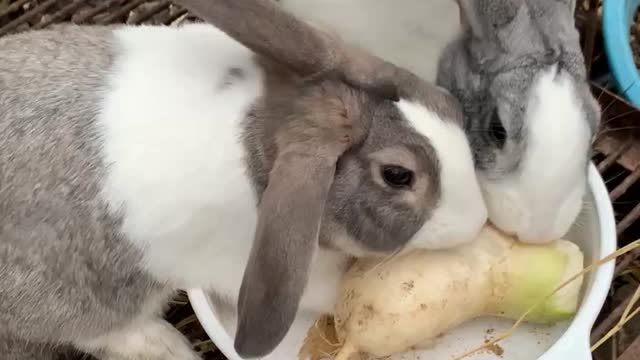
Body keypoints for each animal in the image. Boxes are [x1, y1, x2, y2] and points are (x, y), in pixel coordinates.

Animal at [0, 0, 484, 360]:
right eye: (398, 176)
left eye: (443, 102)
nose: (479, 221)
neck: (261, 133)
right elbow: (332, 294)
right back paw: (166, 345)